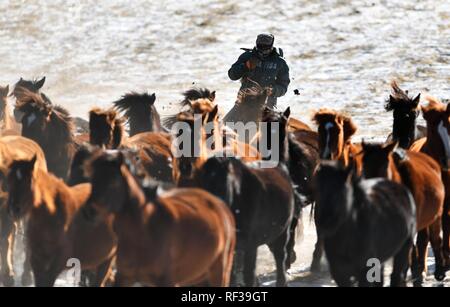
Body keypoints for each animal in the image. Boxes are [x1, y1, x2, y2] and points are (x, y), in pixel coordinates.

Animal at [6, 158, 116, 288]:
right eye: (9, 181)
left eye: (29, 181)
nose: (13, 208)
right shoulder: (37, 260)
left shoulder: (58, 262)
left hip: (107, 258)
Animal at [84, 150, 236, 288]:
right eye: (93, 179)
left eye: (113, 181)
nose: (90, 211)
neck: (143, 230)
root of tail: (221, 207)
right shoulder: (124, 277)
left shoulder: (166, 281)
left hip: (219, 273)